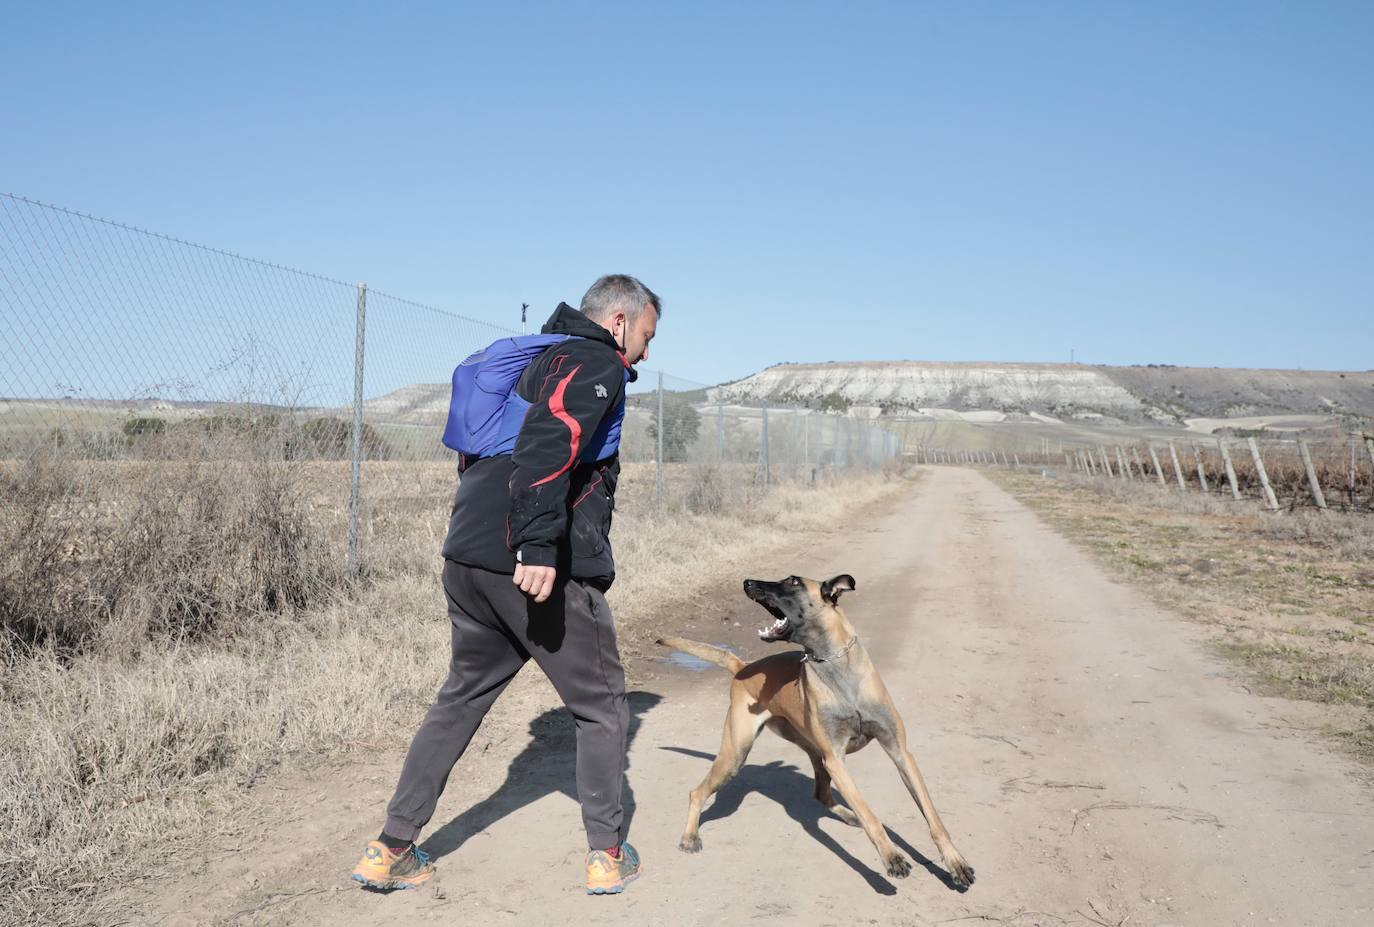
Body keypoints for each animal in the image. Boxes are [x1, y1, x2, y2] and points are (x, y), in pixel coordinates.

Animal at [656, 574, 972, 884]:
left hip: (813, 756)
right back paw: (689, 836)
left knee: (821, 794)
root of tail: (744, 667)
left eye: (793, 582)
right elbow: (869, 814)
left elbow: (933, 817)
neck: (838, 669)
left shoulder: (899, 752)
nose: (747, 582)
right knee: (696, 793)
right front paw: (891, 856)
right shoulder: (836, 759)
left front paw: (956, 862)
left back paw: (847, 815)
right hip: (736, 757)